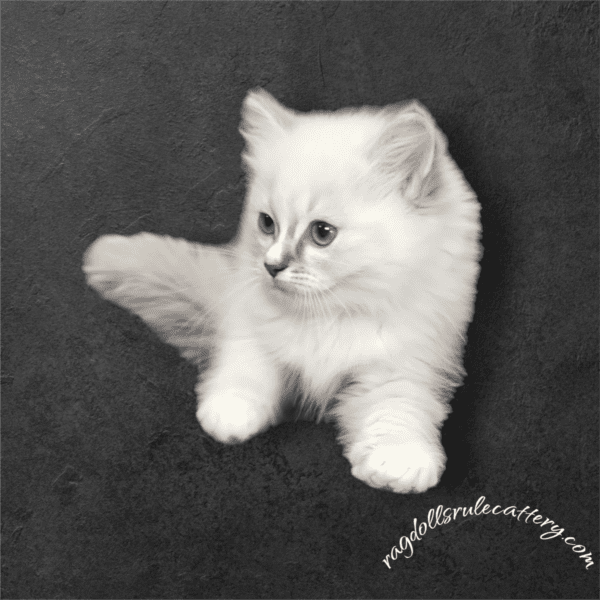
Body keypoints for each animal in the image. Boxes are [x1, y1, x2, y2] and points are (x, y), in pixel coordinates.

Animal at [83, 88, 482, 492]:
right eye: (266, 224)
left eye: (322, 233)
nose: (271, 266)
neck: (329, 316)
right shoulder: (251, 326)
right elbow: (247, 368)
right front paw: (229, 413)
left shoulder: (407, 362)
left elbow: (396, 409)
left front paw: (398, 462)